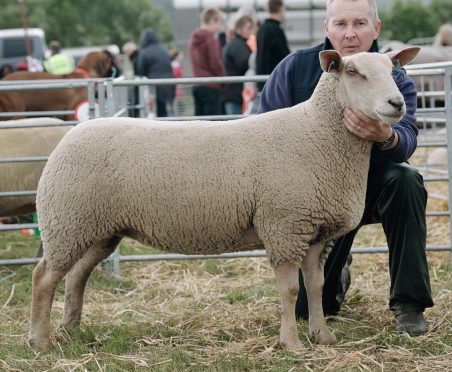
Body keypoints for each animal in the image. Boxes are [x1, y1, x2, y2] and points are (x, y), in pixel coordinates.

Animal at [28, 47, 420, 352]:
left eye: (393, 72)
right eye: (353, 72)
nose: (397, 103)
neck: (317, 133)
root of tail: (69, 137)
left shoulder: (314, 233)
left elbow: (316, 286)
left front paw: (322, 337)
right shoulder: (284, 226)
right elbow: (291, 289)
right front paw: (291, 344)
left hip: (97, 228)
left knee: (77, 275)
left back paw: (73, 328)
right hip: (67, 221)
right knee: (44, 277)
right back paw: (40, 340)